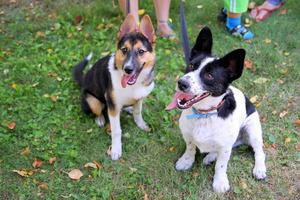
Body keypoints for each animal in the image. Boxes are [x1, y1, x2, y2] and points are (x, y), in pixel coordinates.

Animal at [72, 14, 156, 160]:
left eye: (141, 51)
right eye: (124, 50)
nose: (128, 69)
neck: (133, 85)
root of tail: (83, 82)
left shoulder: (139, 98)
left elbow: (138, 113)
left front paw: (141, 124)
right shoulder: (113, 107)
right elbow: (117, 130)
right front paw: (116, 150)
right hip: (92, 101)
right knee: (98, 110)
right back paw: (100, 119)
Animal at [166, 27, 268, 193]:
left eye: (209, 75)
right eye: (191, 66)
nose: (181, 83)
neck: (204, 114)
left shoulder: (225, 147)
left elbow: (221, 165)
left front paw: (219, 181)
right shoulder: (188, 136)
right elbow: (190, 148)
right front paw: (186, 161)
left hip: (253, 130)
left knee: (259, 152)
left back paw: (259, 169)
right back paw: (210, 156)